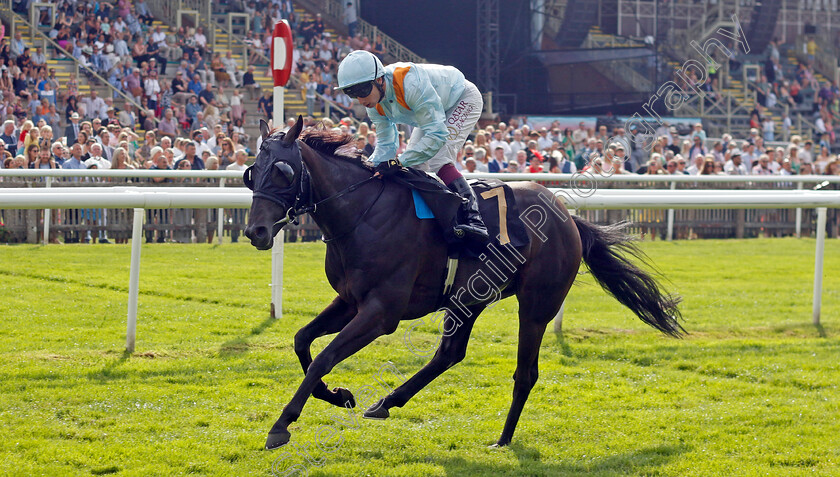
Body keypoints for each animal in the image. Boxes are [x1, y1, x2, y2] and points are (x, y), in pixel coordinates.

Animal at [244, 116, 684, 450]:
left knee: (525, 373)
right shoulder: (350, 301)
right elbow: (303, 341)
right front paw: (338, 396)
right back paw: (387, 401)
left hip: (536, 305)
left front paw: (281, 424)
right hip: (469, 298)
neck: (362, 213)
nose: (255, 231)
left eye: (282, 172)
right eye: (251, 173)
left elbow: (323, 356)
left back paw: (503, 439)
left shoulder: (381, 312)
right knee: (450, 353)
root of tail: (567, 217)